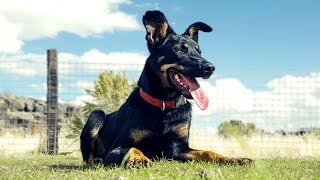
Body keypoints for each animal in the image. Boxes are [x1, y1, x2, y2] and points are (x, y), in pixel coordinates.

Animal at [80, 9, 252, 167]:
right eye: (179, 49)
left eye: (199, 51)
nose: (210, 68)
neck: (164, 105)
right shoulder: (117, 147)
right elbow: (133, 149)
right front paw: (140, 159)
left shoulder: (177, 148)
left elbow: (207, 152)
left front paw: (234, 159)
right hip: (96, 115)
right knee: (88, 157)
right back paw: (96, 161)